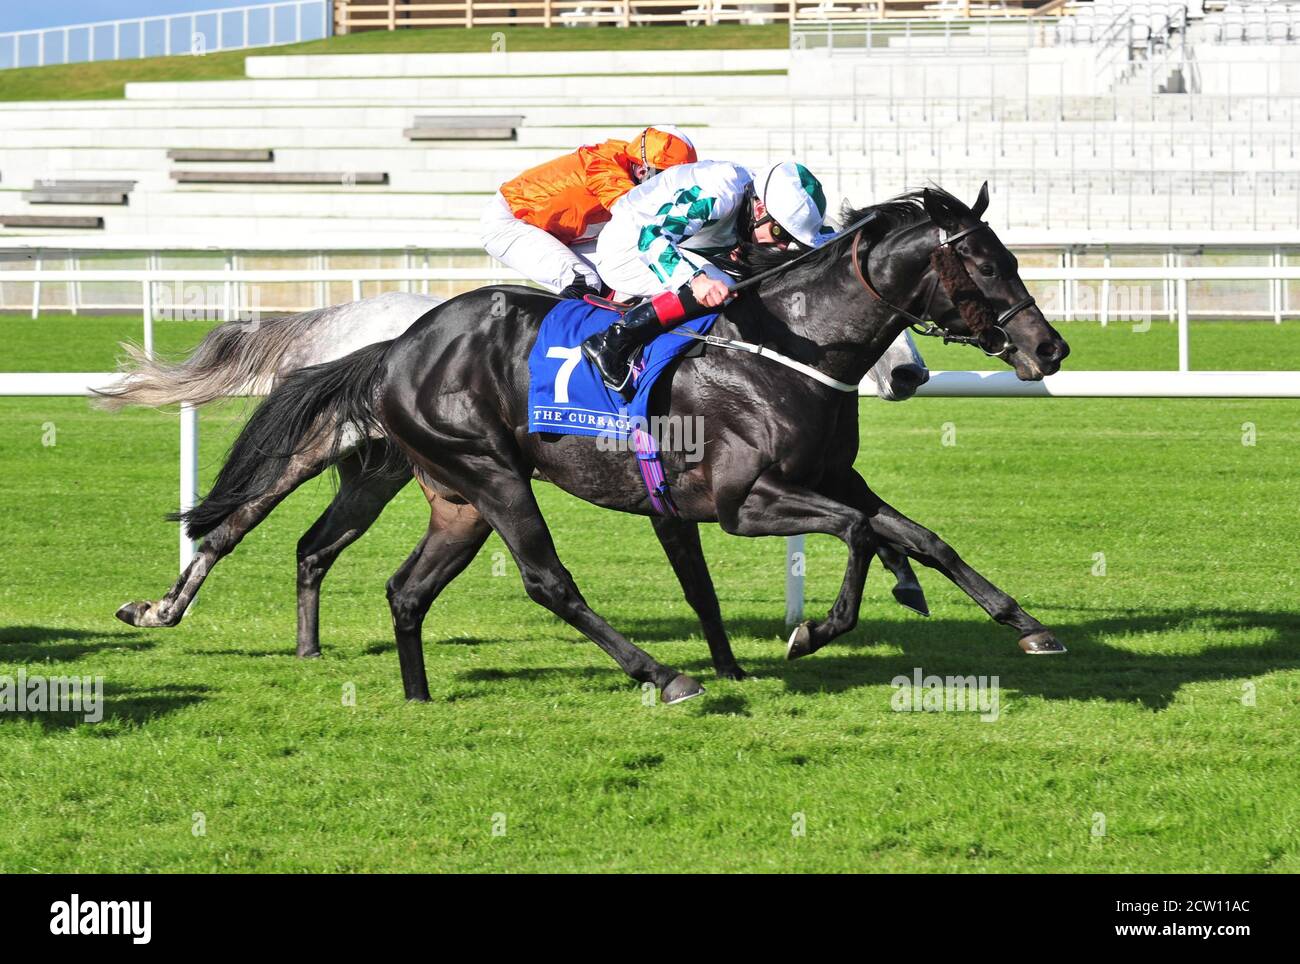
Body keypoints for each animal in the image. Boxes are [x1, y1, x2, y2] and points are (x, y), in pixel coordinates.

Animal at [172, 184, 1066, 706]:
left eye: (1012, 258)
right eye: (986, 264)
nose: (1049, 348)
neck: (791, 346)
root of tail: (397, 345)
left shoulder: (828, 476)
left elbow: (917, 535)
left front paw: (1024, 623)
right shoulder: (744, 503)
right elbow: (855, 534)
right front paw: (813, 630)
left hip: (456, 498)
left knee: (405, 589)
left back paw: (418, 696)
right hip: (493, 476)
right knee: (546, 581)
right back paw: (664, 677)